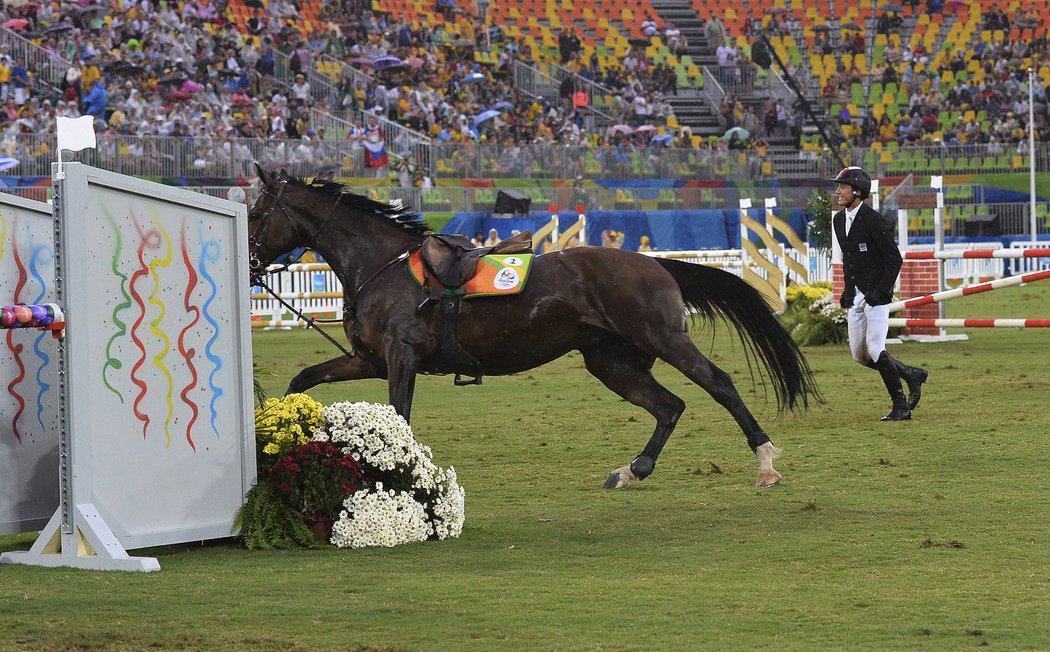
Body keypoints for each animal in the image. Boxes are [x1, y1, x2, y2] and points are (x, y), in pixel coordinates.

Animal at [247, 167, 818, 487]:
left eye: (255, 213)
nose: (250, 264)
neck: (382, 265)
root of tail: (656, 264)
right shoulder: (368, 358)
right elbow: (303, 380)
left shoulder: (400, 357)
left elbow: (400, 417)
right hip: (613, 362)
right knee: (669, 406)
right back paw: (632, 470)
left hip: (665, 340)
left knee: (718, 385)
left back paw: (765, 461)